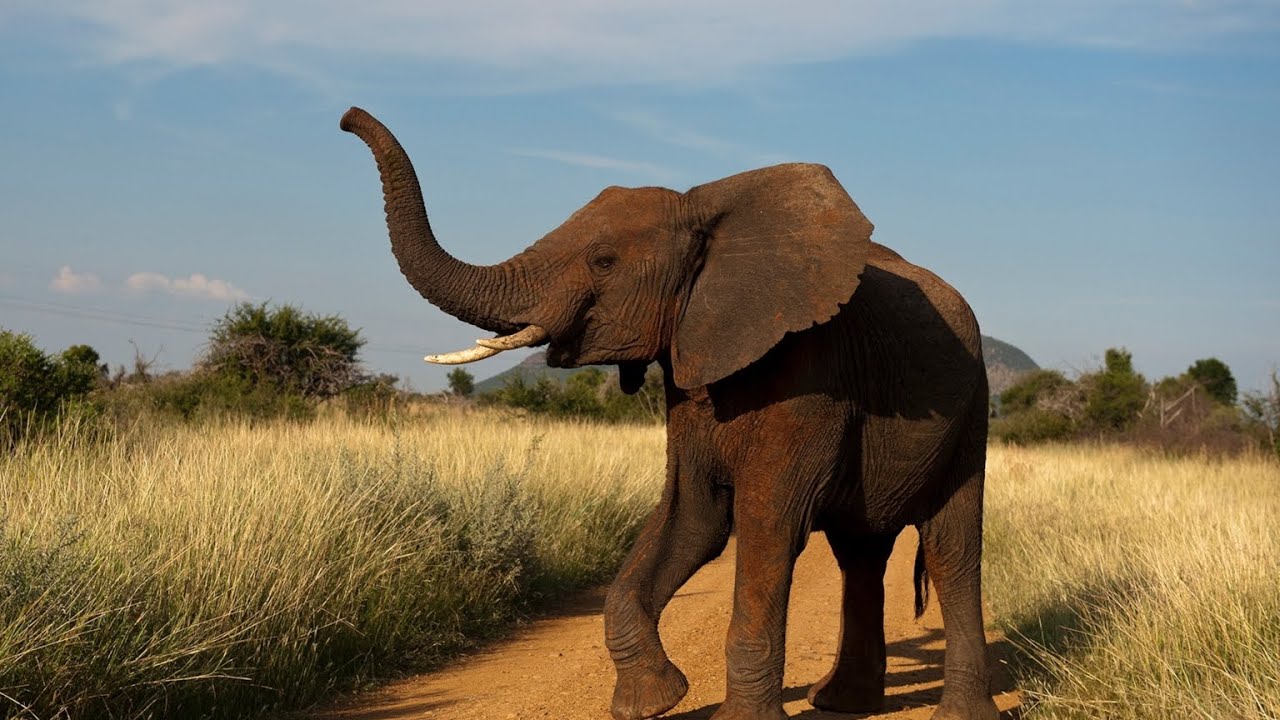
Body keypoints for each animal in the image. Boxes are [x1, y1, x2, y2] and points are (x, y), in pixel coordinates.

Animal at [341, 107, 999, 720]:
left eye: (604, 261)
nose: (347, 119)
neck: (703, 212)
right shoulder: (689, 376)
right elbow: (692, 518)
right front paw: (652, 701)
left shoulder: (815, 375)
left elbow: (768, 524)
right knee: (860, 552)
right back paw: (842, 703)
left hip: (973, 408)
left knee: (950, 548)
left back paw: (954, 710)